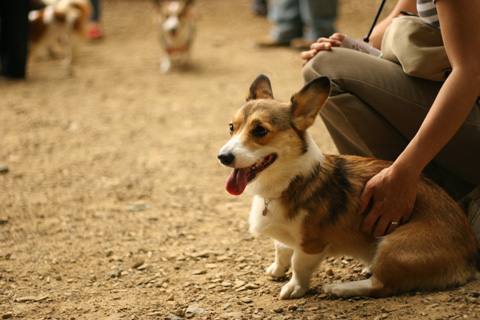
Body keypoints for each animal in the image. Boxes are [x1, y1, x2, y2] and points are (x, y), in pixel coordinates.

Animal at [218, 75, 480, 300]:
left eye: (260, 130)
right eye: (231, 127)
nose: (223, 157)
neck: (289, 182)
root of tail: (471, 258)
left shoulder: (311, 245)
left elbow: (298, 266)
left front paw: (294, 288)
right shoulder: (286, 235)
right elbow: (281, 249)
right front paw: (276, 269)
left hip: (393, 245)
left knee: (381, 286)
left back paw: (339, 288)